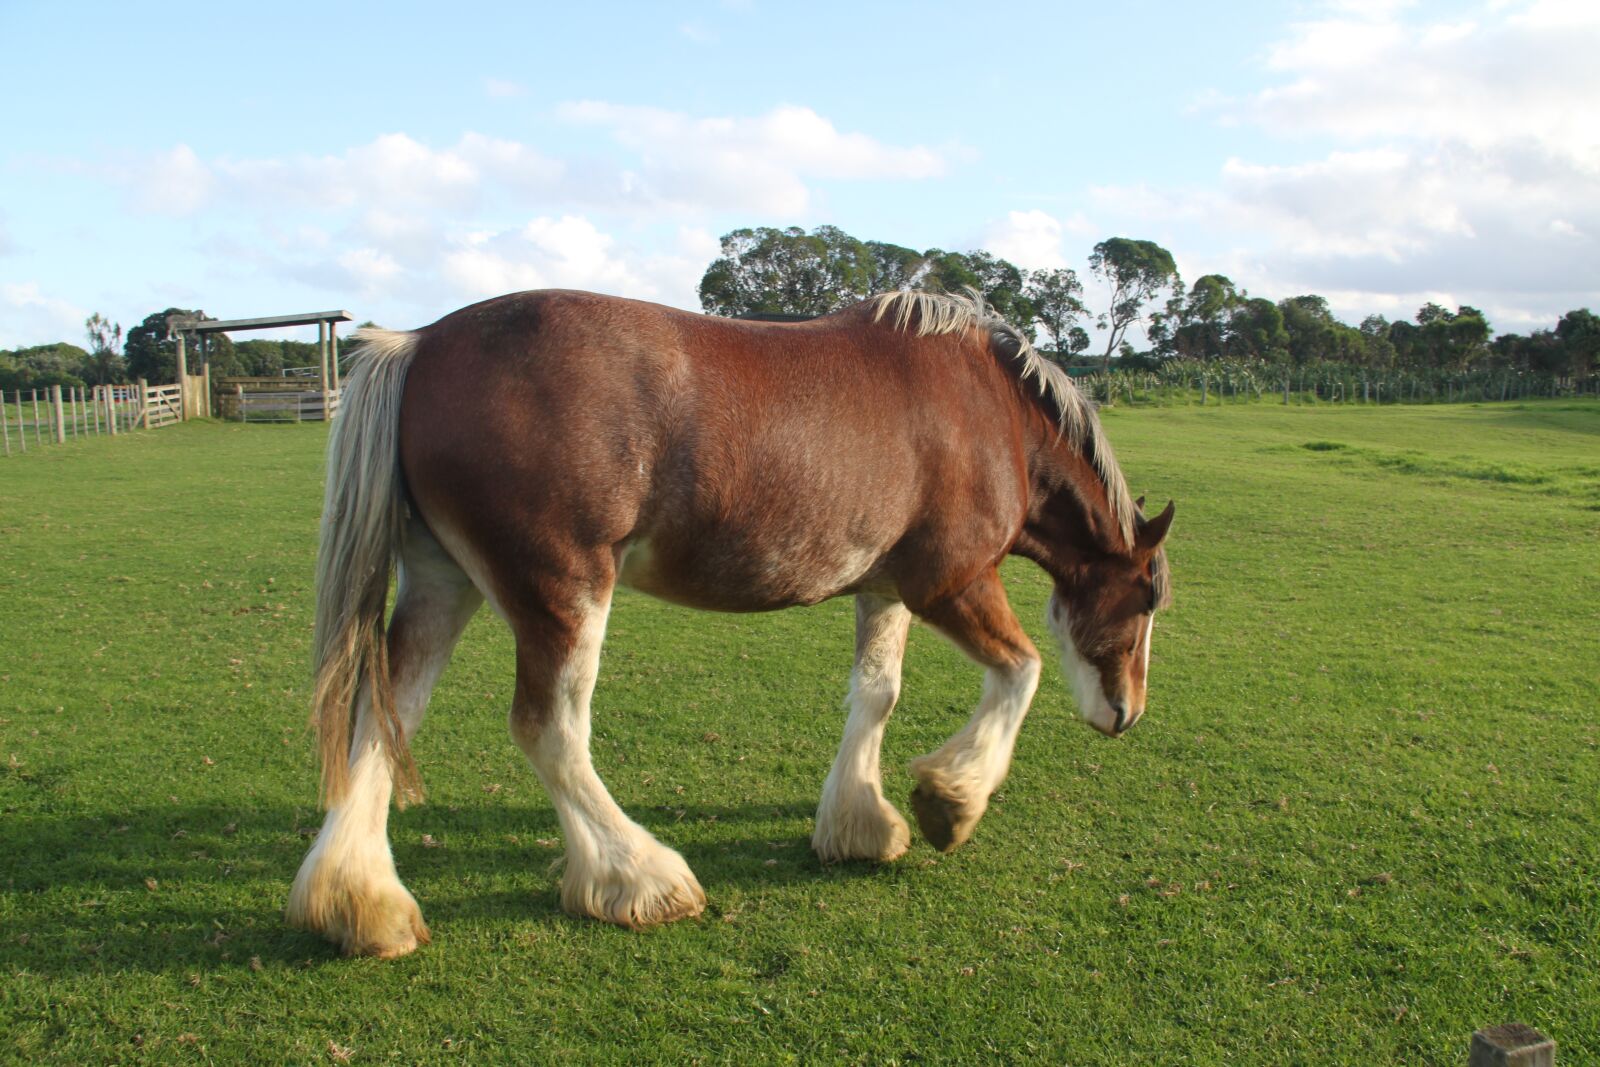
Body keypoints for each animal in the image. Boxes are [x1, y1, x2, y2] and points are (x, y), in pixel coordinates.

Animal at [287, 287, 1173, 957]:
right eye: (1147, 599)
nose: (1127, 712)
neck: (991, 410)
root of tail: (419, 344)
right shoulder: (948, 581)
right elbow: (1021, 669)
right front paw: (950, 801)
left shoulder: (884, 586)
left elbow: (876, 693)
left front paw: (860, 821)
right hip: (562, 588)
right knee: (549, 727)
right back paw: (638, 877)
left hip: (444, 581)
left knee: (384, 713)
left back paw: (360, 904)